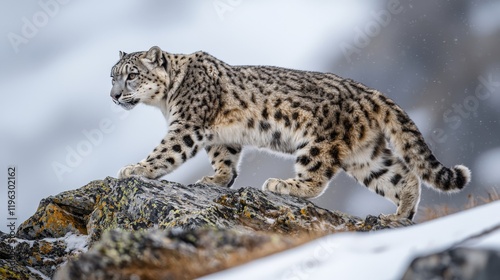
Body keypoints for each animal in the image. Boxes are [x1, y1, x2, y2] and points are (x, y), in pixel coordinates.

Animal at [108, 46, 468, 221]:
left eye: (132, 75)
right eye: (112, 76)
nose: (113, 95)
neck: (165, 103)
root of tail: (370, 93)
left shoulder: (187, 124)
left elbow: (166, 151)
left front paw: (136, 169)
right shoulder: (221, 136)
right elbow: (225, 160)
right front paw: (215, 179)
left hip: (318, 142)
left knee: (316, 179)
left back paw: (282, 184)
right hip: (365, 156)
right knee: (403, 176)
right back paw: (399, 216)